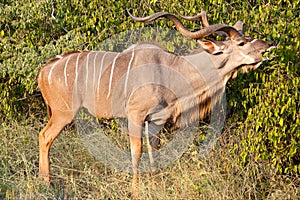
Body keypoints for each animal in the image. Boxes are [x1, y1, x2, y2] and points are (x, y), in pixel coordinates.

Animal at [38, 9, 274, 197]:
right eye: (241, 43)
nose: (269, 45)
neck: (172, 70)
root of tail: (44, 70)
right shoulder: (135, 115)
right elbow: (137, 152)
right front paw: (135, 191)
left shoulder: (156, 121)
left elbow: (154, 154)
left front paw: (155, 184)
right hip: (63, 113)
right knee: (44, 136)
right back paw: (46, 184)